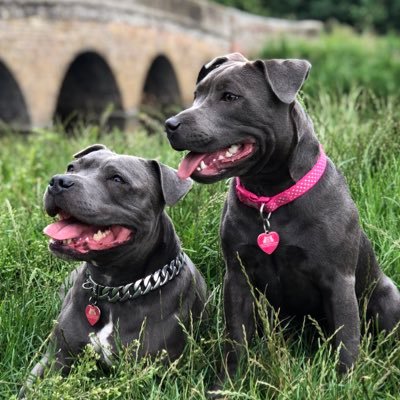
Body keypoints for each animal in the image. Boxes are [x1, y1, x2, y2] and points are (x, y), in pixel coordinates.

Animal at [19, 145, 206, 396]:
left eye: (117, 179)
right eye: (72, 167)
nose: (59, 181)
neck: (114, 288)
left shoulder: (155, 377)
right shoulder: (54, 359)